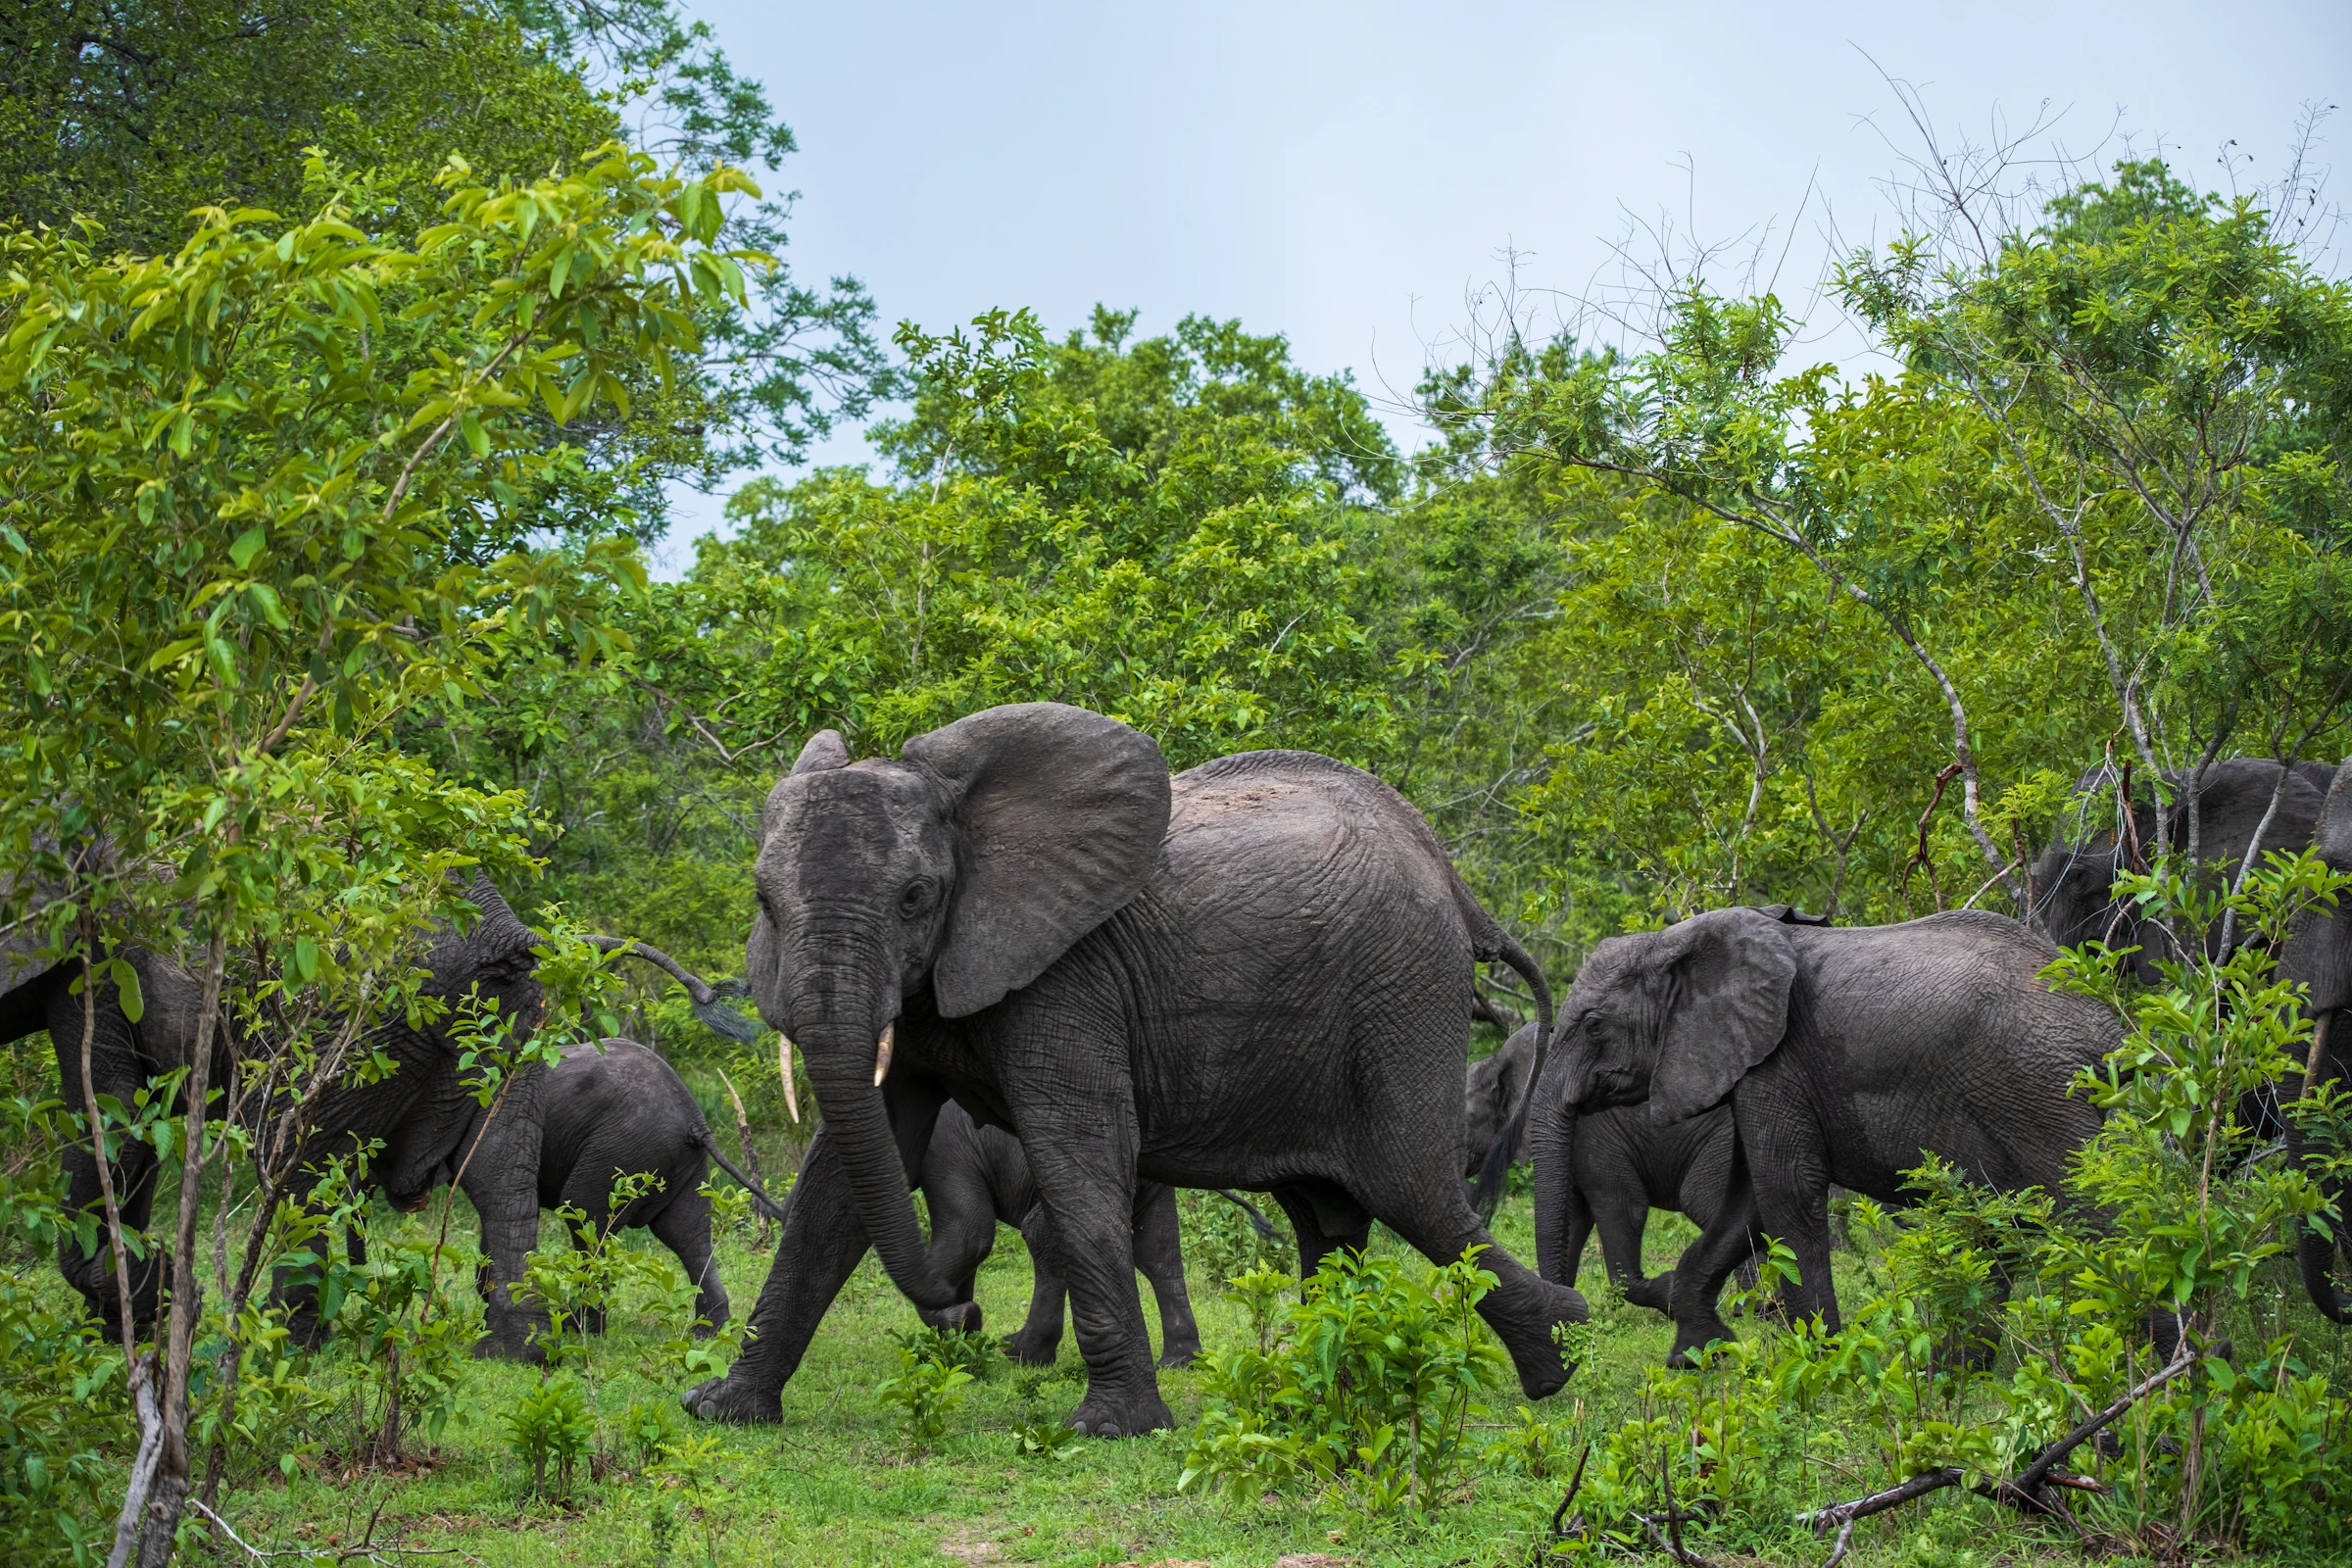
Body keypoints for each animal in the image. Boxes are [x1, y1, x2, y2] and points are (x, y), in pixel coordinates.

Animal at [682, 702, 1584, 1437]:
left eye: (915, 898)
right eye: (764, 902)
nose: (963, 1313)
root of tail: (1458, 886)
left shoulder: (1067, 974)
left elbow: (1079, 1155)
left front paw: (1113, 1427)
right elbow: (837, 1184)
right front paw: (724, 1409)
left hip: (1402, 997)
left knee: (1416, 1196)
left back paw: (1560, 1356)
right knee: (1330, 1218)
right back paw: (1326, 1380)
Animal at [1538, 906, 2119, 1365]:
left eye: (1593, 1025)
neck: (1678, 939)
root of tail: (2108, 1025)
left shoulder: (1777, 1063)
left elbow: (1785, 1193)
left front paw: (1822, 1362)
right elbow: (1744, 1207)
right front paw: (1698, 1357)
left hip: (2040, 1093)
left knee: (2092, 1213)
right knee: (1995, 1230)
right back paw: (1952, 1372)